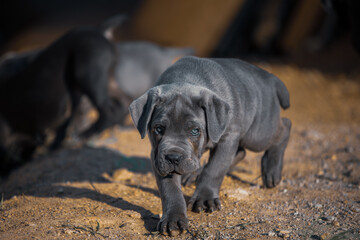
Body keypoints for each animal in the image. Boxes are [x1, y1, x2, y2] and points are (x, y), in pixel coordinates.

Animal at [128, 55, 292, 234]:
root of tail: (269, 77)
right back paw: (193, 175)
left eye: (195, 131)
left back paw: (271, 171)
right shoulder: (157, 155)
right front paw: (173, 218)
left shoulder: (228, 137)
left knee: (284, 126)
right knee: (241, 152)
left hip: (258, 133)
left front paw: (205, 199)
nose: (173, 158)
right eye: (158, 129)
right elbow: (170, 189)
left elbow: (215, 168)